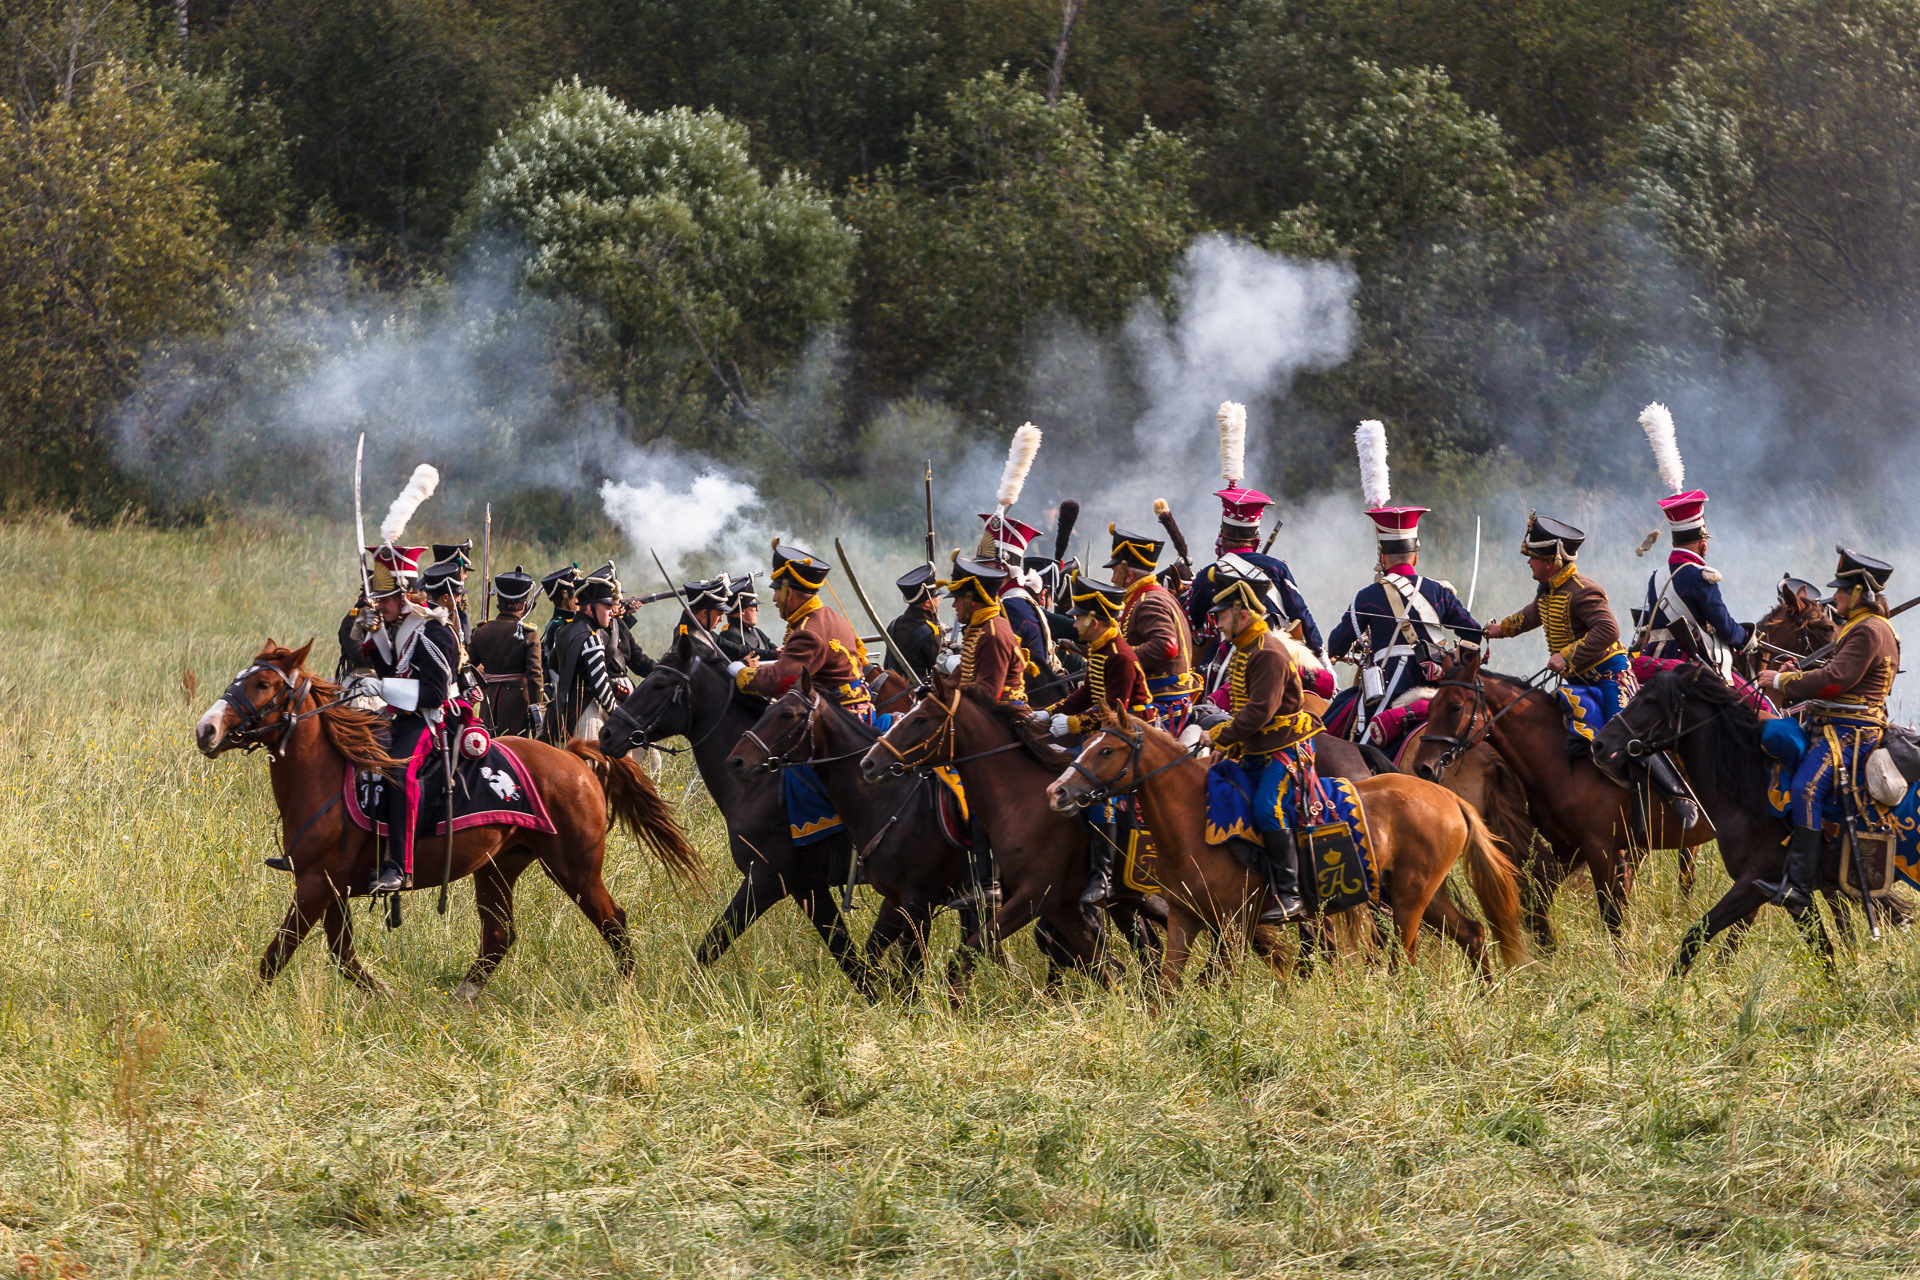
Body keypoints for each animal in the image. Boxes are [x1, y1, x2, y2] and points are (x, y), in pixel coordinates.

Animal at [192, 644, 706, 997]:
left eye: (263, 685)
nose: (206, 730)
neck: (326, 774)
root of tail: (577, 760)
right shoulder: (330, 889)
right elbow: (342, 955)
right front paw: (389, 998)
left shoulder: (316, 885)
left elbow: (278, 954)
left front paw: (249, 1004)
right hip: (498, 868)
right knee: (499, 935)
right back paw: (462, 995)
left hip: (575, 869)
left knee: (613, 920)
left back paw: (625, 987)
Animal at [599, 629, 913, 990]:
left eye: (660, 683)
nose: (607, 733)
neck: (761, 781)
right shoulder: (807, 887)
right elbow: (847, 954)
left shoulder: (766, 881)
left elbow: (713, 943)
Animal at [1044, 717, 1520, 997]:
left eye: (1107, 750)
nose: (1058, 791)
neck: (1194, 818)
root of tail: (1449, 799)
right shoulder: (1186, 919)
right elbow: (1170, 986)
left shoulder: (1235, 925)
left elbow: (1218, 980)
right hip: (1419, 895)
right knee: (1473, 934)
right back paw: (1488, 997)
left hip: (1408, 900)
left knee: (1403, 957)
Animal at [1413, 652, 1712, 951]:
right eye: (1431, 706)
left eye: (1455, 707)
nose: (1423, 767)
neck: (1562, 757)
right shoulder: (1569, 846)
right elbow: (1540, 891)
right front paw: (1546, 943)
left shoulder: (1601, 848)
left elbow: (1612, 915)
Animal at [1582, 667, 1850, 974]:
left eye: (1650, 700)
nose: (1600, 744)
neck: (1748, 791)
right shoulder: (1785, 894)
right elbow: (1823, 950)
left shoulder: (1754, 884)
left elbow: (1696, 933)